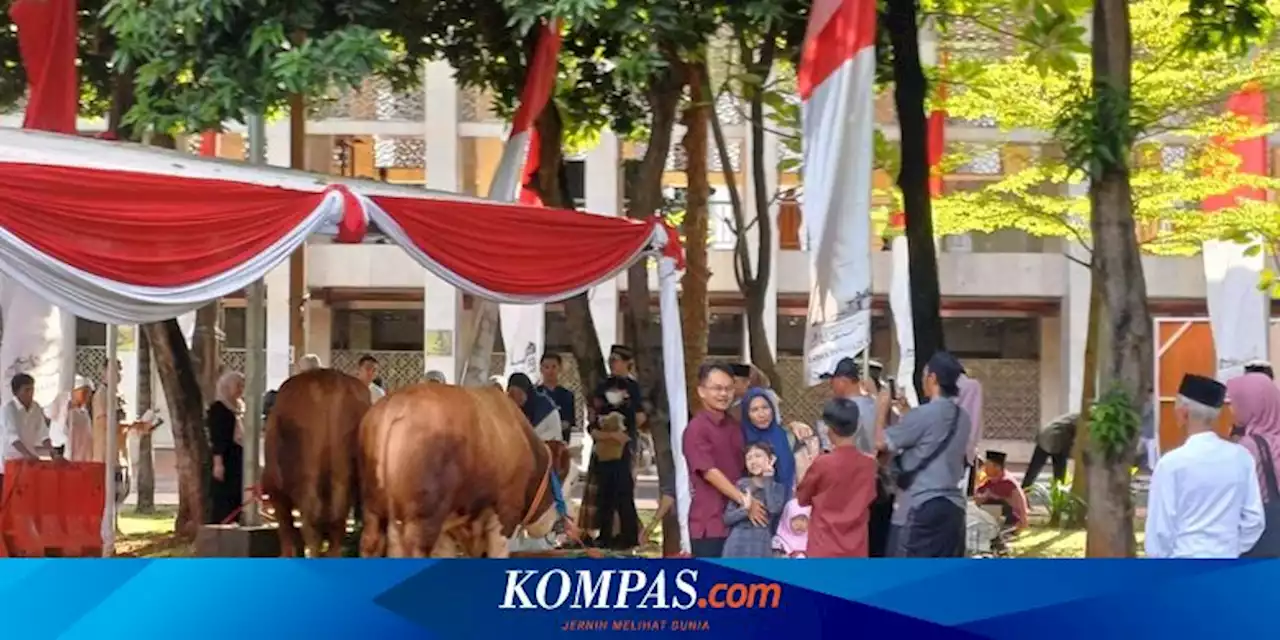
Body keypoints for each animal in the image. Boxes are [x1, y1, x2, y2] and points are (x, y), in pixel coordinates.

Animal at [263, 368, 371, 558]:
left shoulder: (276, 492)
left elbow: (287, 530)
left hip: (307, 478)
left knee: (312, 523)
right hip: (347, 480)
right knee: (337, 525)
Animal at [360, 381, 560, 558]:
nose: (556, 524)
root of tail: (397, 406)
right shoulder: (506, 511)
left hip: (374, 512)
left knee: (371, 544)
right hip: (421, 520)